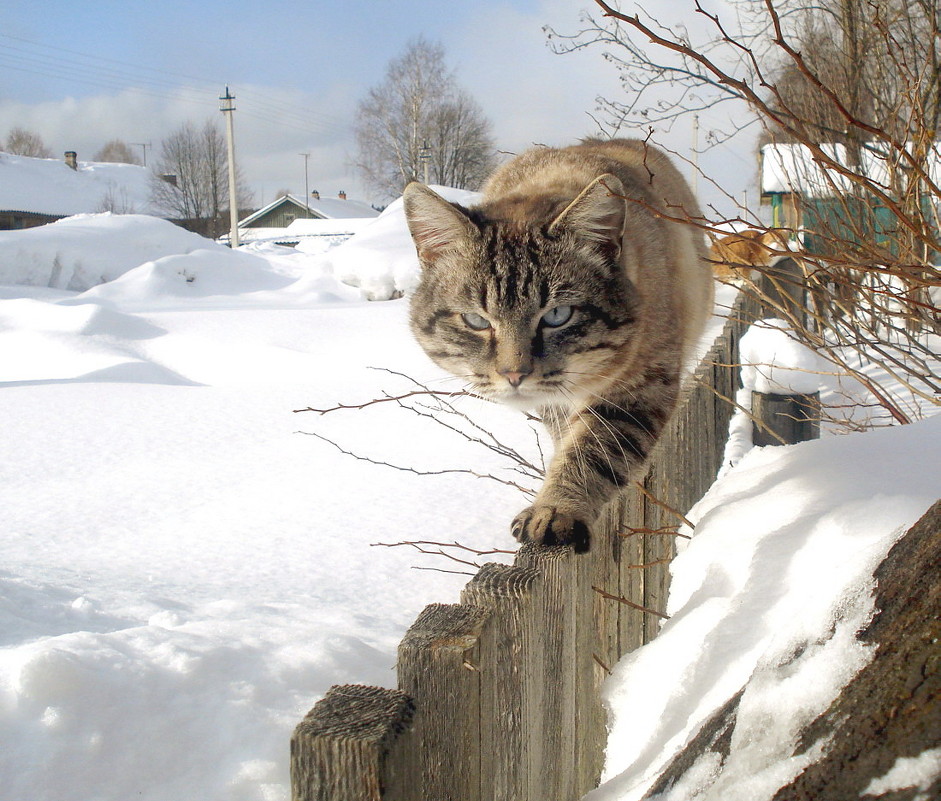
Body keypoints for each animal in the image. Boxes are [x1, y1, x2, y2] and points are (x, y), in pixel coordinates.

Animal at [402, 138, 712, 552]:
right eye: (476, 321)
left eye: (557, 316)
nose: (514, 374)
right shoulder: (554, 404)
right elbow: (568, 440)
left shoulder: (637, 388)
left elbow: (592, 452)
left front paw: (555, 511)